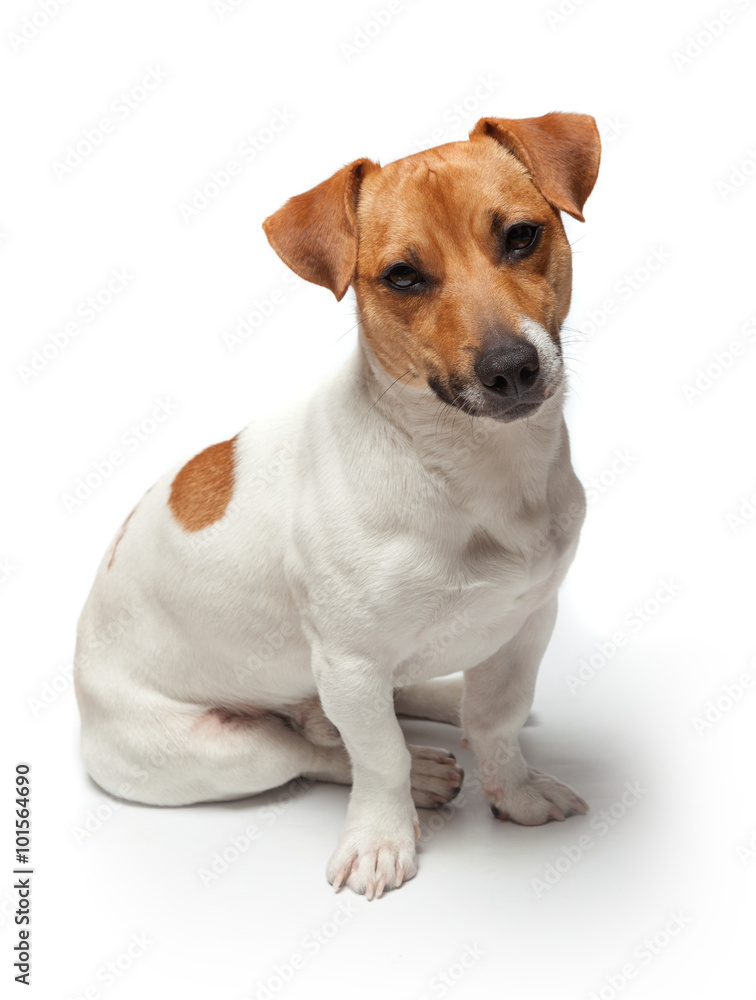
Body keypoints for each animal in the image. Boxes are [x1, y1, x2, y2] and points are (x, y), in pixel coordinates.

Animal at [72, 111, 604, 900]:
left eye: (521, 235)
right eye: (402, 276)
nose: (510, 369)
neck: (472, 473)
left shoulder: (527, 625)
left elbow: (498, 722)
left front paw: (516, 792)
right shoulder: (350, 663)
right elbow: (379, 758)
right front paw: (383, 839)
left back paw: (442, 698)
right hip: (223, 752)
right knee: (317, 751)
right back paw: (419, 774)